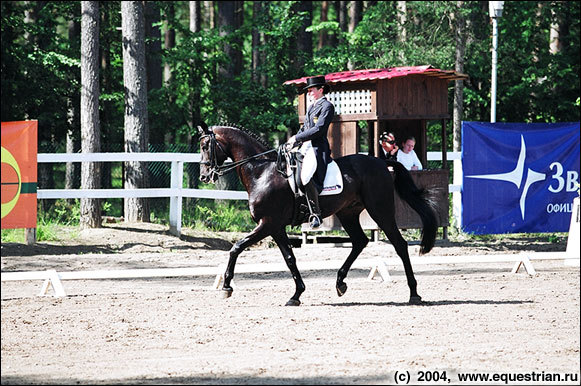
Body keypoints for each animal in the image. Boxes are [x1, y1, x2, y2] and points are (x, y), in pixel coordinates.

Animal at [198, 123, 436, 304]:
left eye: (205, 145)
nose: (204, 176)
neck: (262, 173)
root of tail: (381, 161)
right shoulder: (276, 227)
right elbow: (289, 258)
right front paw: (296, 294)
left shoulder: (268, 223)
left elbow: (236, 247)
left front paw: (226, 286)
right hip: (348, 213)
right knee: (360, 241)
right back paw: (340, 283)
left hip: (380, 210)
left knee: (399, 244)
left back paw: (414, 293)